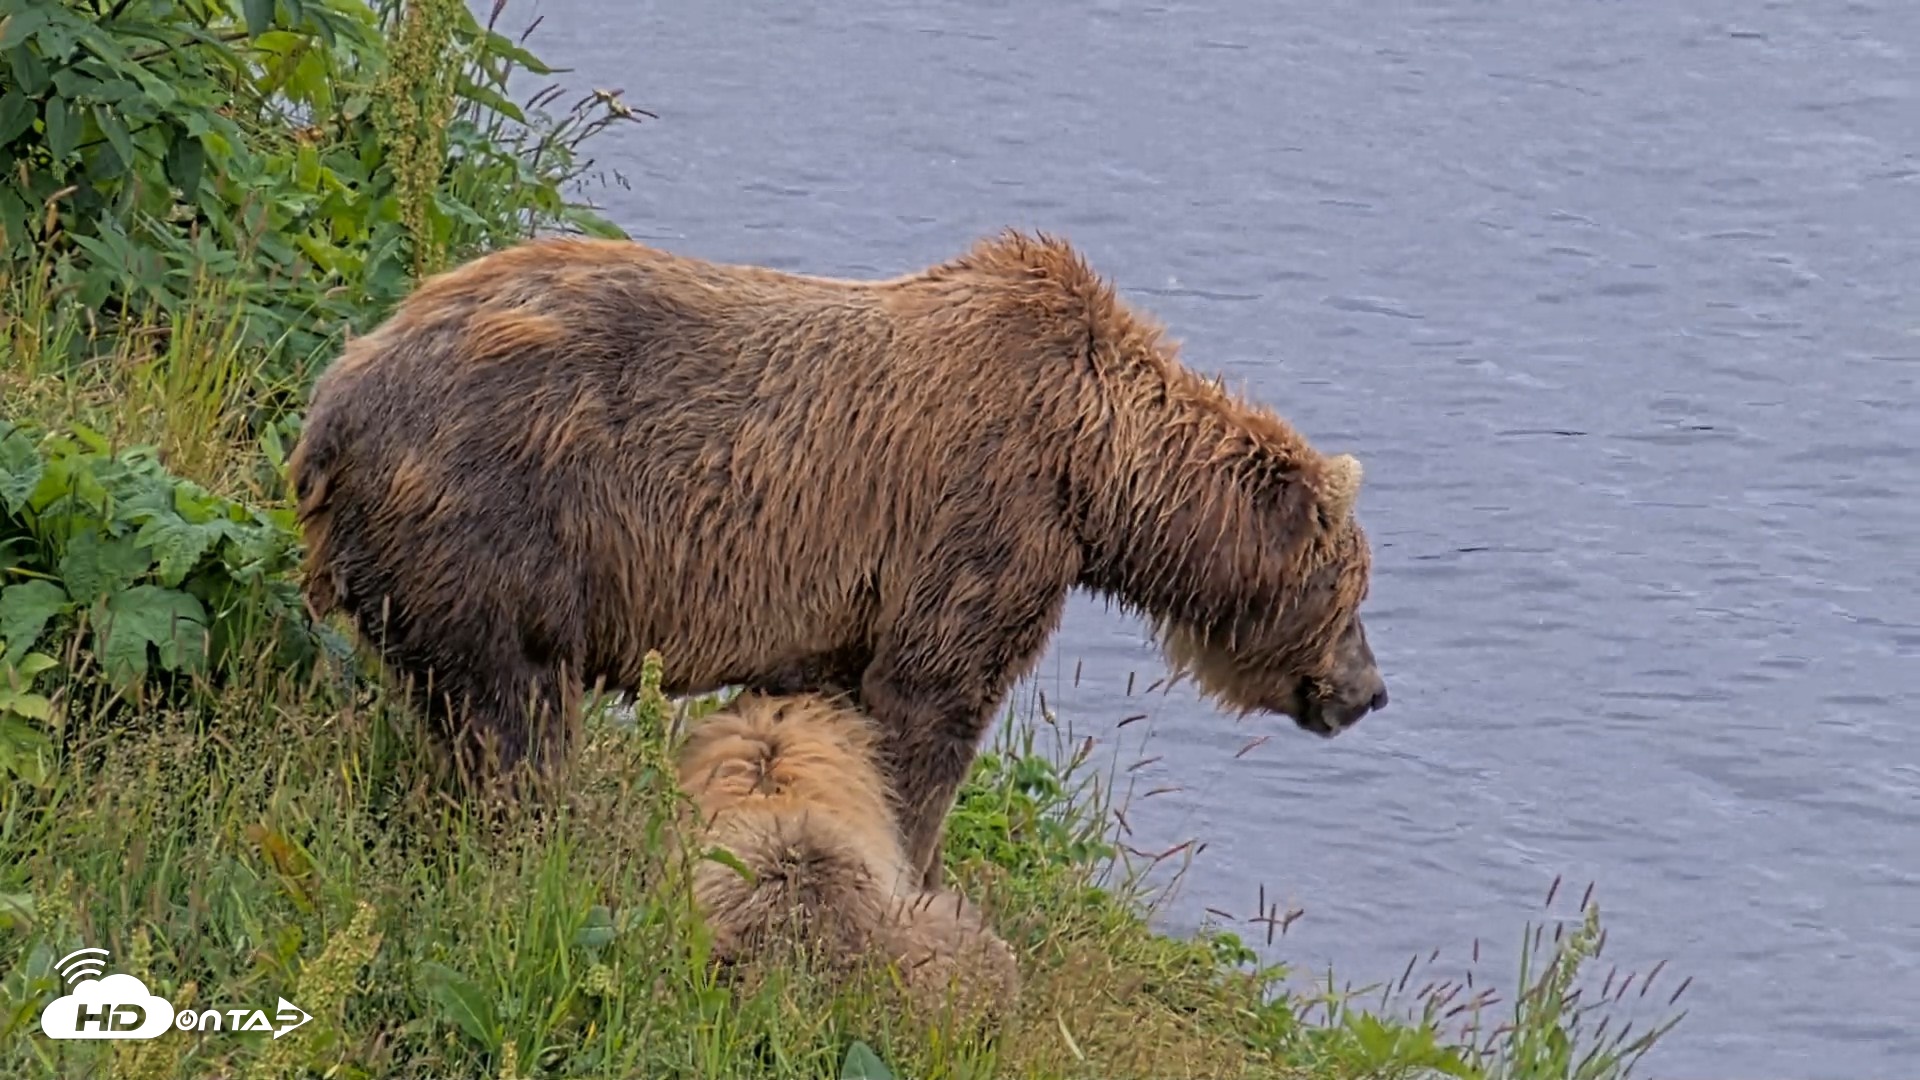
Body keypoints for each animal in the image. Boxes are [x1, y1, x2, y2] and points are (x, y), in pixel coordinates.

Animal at [288, 228, 1389, 890]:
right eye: (1356, 589)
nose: (1369, 690)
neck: (1096, 470)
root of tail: (334, 402)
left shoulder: (838, 604)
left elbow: (827, 709)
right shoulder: (984, 520)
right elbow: (933, 708)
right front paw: (920, 871)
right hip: (500, 525)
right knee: (513, 720)